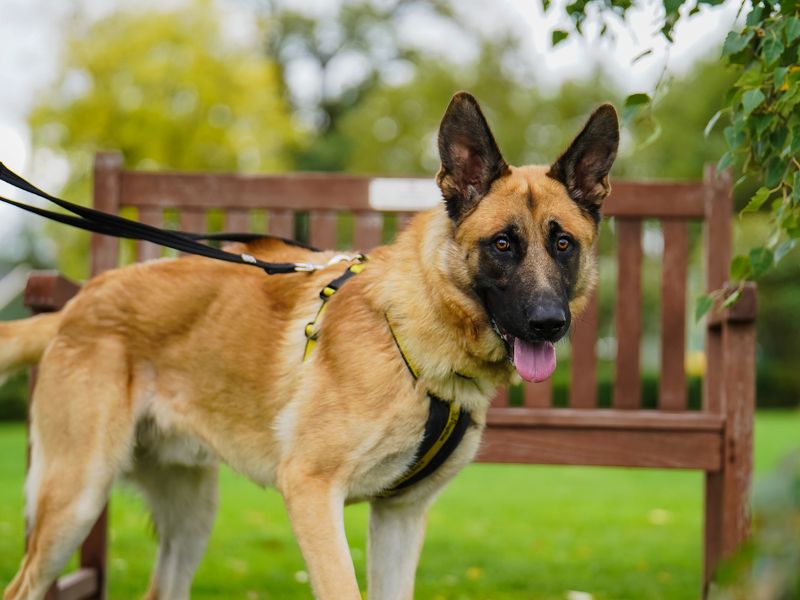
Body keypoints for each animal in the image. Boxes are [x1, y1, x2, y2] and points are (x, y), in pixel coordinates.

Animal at [1, 92, 620, 600]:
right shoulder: (312, 492)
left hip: (192, 513)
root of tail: (81, 298)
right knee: (22, 586)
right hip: (76, 501)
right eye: (502, 245)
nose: (548, 323)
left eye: (563, 244)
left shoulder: (399, 517)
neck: (414, 339)